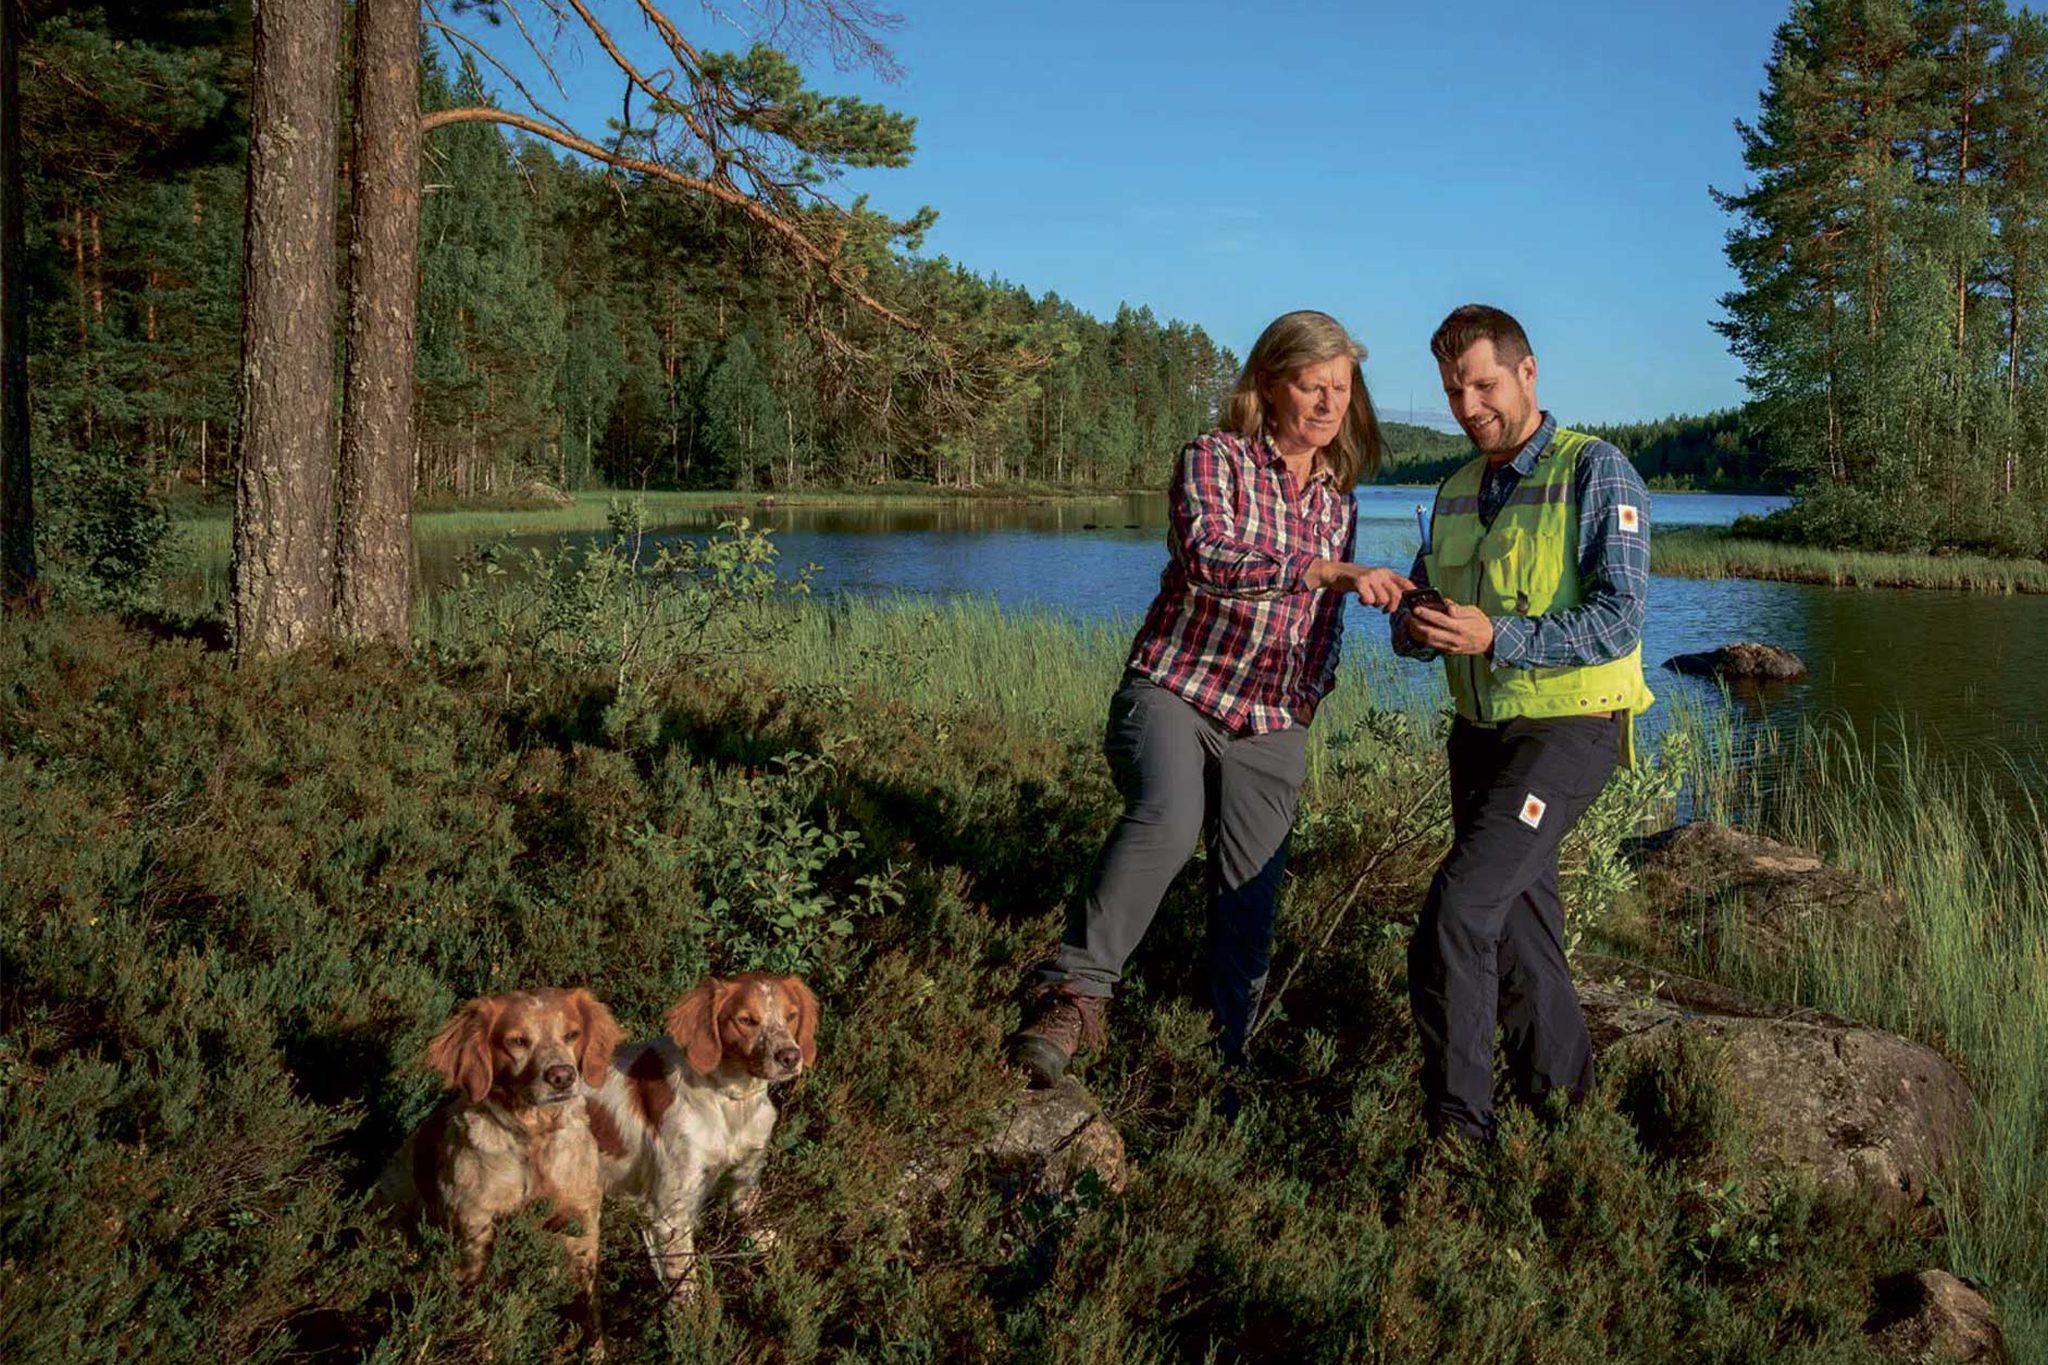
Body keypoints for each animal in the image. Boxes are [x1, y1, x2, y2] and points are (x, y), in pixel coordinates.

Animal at [589, 978, 819, 1301]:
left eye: (791, 1016)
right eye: (745, 1020)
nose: (789, 1056)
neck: (728, 1100)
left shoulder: (746, 1179)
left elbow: (761, 1229)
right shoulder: (670, 1213)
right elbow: (687, 1288)